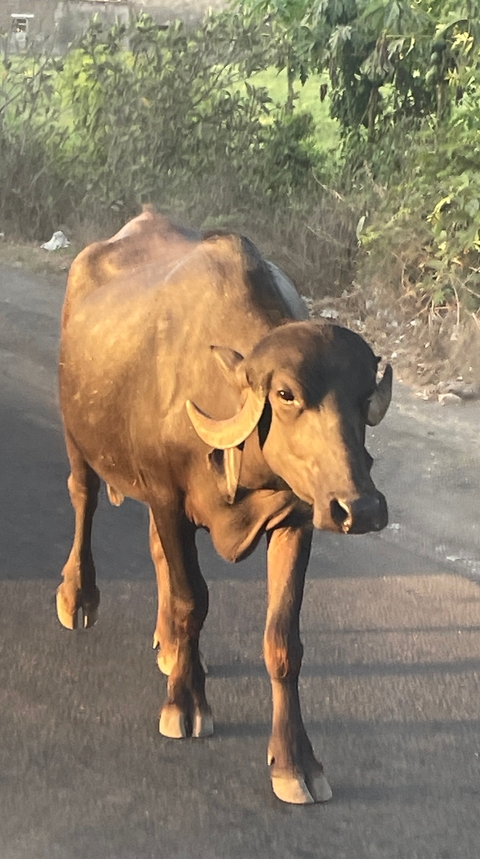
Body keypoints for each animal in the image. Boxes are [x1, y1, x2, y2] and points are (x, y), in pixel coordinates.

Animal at [57, 210, 392, 804]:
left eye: (361, 398)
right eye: (286, 394)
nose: (362, 509)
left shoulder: (297, 518)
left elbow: (282, 639)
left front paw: (295, 762)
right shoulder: (167, 496)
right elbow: (193, 599)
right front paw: (185, 703)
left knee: (154, 551)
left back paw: (170, 646)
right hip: (79, 436)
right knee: (84, 497)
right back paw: (78, 597)